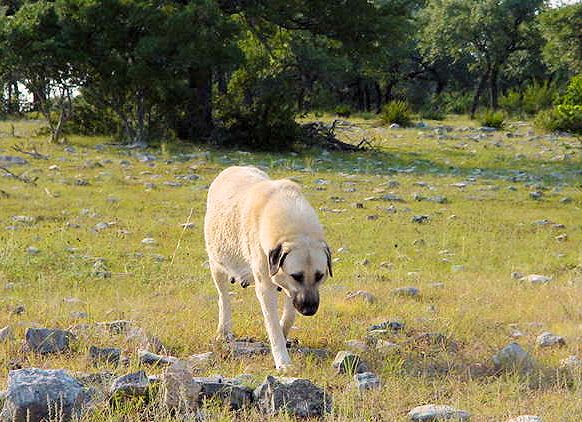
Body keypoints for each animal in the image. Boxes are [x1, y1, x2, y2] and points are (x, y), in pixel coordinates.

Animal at [205, 165, 334, 370]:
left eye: (320, 276)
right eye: (296, 276)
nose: (309, 310)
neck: (295, 231)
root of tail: (231, 168)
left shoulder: (290, 289)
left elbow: (288, 316)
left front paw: (284, 331)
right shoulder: (266, 286)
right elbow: (272, 323)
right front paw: (283, 361)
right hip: (216, 262)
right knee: (223, 298)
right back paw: (224, 330)